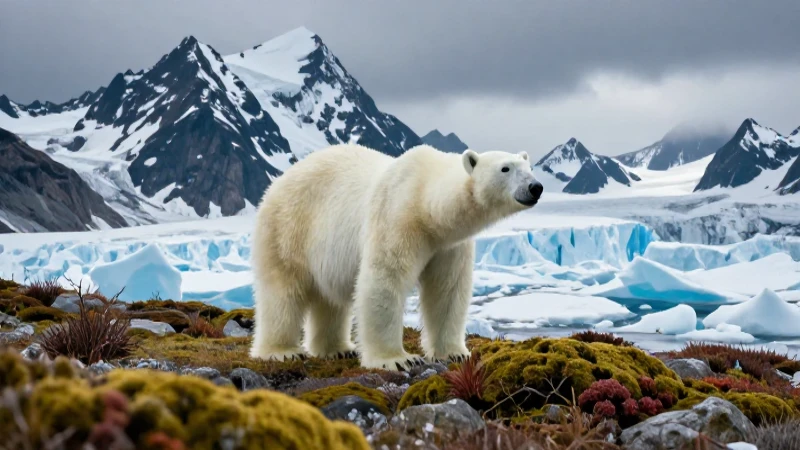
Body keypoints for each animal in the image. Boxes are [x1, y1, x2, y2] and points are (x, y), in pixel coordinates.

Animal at [249, 143, 543, 370]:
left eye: (529, 168)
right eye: (505, 168)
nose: (535, 187)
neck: (425, 202)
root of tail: (277, 182)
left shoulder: (449, 245)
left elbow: (447, 290)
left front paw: (455, 353)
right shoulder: (396, 218)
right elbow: (384, 280)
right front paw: (397, 359)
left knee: (329, 300)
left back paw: (338, 348)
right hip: (287, 228)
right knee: (282, 292)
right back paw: (282, 351)